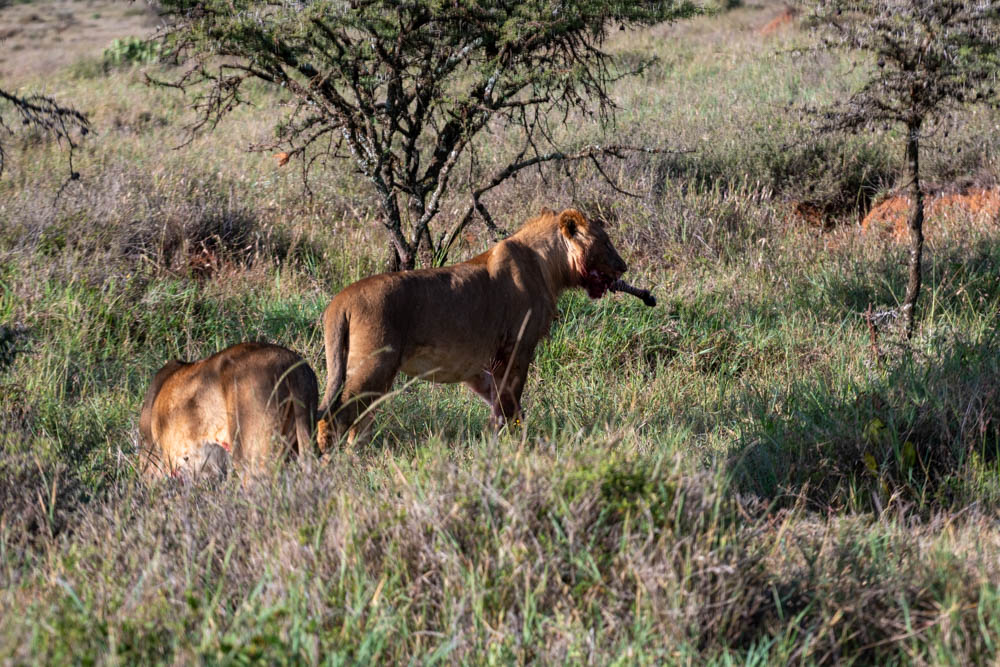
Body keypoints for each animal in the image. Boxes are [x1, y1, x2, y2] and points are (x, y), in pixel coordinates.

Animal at [318, 207, 633, 447]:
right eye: (605, 242)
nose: (624, 267)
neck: (549, 264)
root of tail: (340, 303)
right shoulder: (516, 348)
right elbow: (510, 400)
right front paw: (512, 440)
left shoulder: (480, 365)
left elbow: (497, 400)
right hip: (375, 365)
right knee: (335, 416)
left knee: (353, 417)